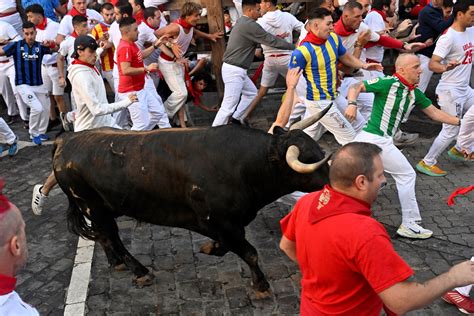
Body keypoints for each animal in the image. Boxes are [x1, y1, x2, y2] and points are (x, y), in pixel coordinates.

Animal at [52, 122, 330, 292]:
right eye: (309, 159)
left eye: (318, 150)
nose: (333, 179)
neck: (245, 164)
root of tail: (67, 139)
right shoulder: (220, 222)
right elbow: (250, 252)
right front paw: (260, 285)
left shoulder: (226, 225)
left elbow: (227, 246)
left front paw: (210, 248)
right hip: (93, 207)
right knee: (112, 237)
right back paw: (139, 271)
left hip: (100, 208)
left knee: (104, 236)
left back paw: (117, 263)